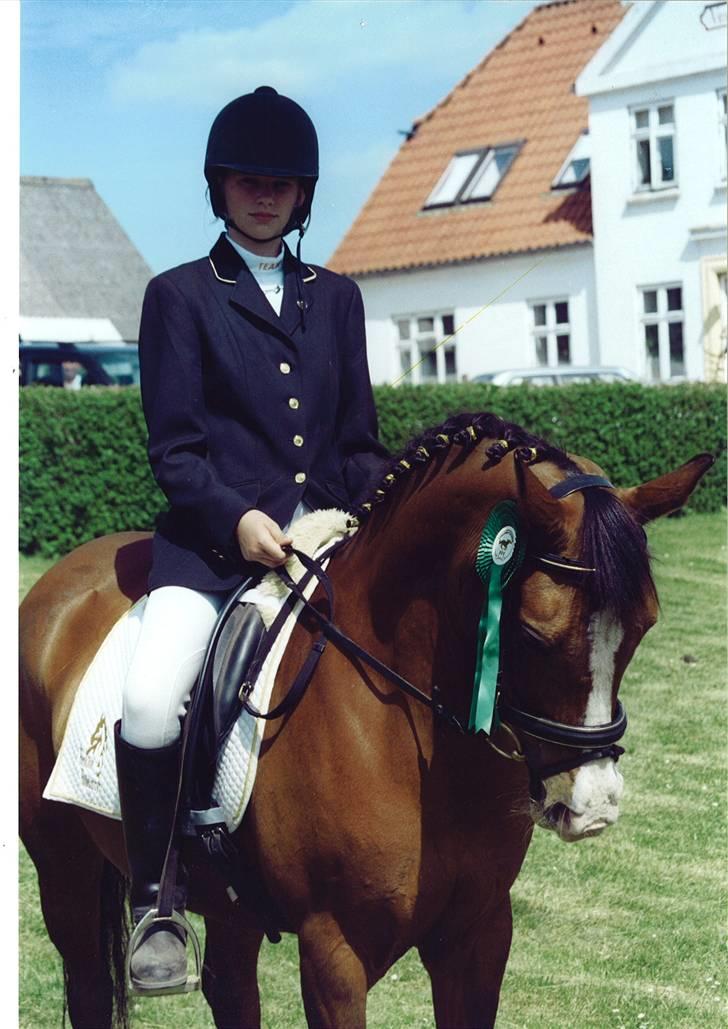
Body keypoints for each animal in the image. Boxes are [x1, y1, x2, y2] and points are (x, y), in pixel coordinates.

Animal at [19, 411, 712, 1029]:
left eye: (644, 626)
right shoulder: (335, 951)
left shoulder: (480, 933)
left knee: (231, 988)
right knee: (88, 985)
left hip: (230, 904)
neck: (422, 743)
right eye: (533, 633)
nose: (591, 805)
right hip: (63, 868)